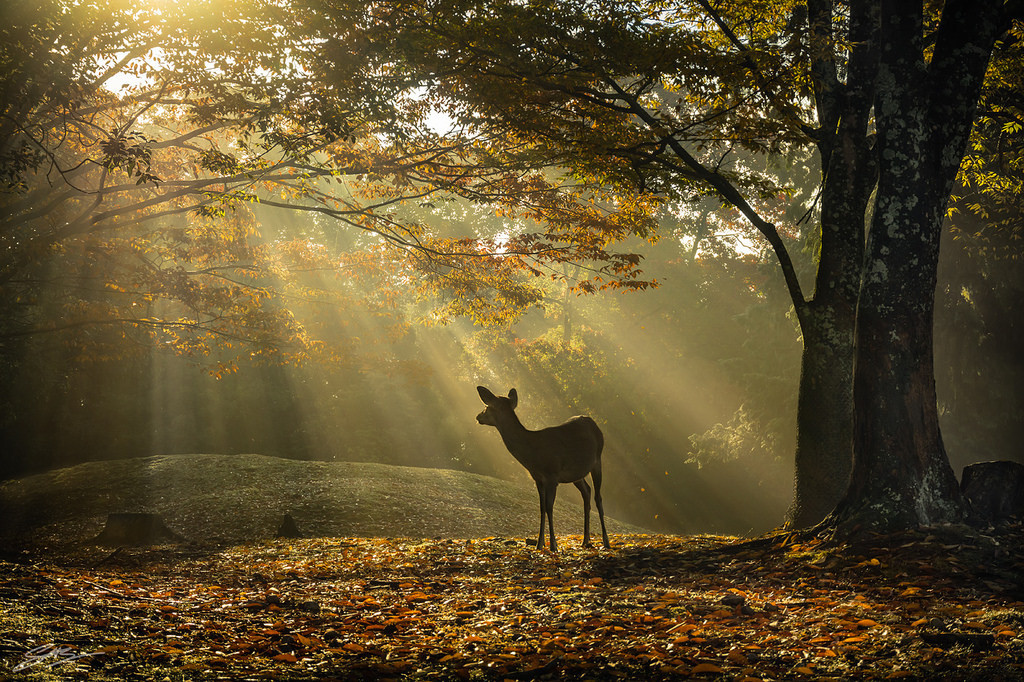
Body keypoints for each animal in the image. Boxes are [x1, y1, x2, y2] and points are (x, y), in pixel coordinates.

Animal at [477, 385, 610, 548]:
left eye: (487, 407)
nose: (478, 416)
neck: (533, 456)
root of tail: (593, 422)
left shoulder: (552, 475)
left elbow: (549, 507)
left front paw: (553, 545)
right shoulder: (538, 478)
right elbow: (541, 508)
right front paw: (539, 544)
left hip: (597, 460)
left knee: (598, 497)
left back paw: (606, 541)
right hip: (577, 474)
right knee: (587, 491)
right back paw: (585, 541)